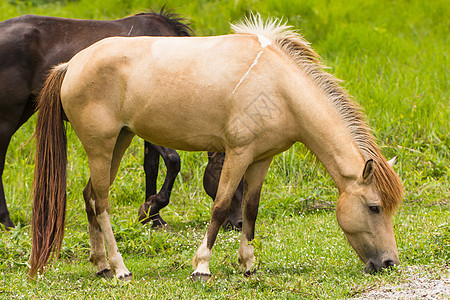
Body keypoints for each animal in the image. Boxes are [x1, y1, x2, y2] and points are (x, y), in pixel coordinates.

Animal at [31, 14, 404, 282]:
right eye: (374, 207)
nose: (389, 262)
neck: (279, 87)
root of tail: (71, 65)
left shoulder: (261, 159)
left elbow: (250, 210)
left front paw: (248, 264)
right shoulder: (238, 154)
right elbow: (222, 207)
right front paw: (202, 266)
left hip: (119, 142)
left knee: (90, 197)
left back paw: (100, 265)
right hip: (101, 146)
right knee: (103, 202)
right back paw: (120, 267)